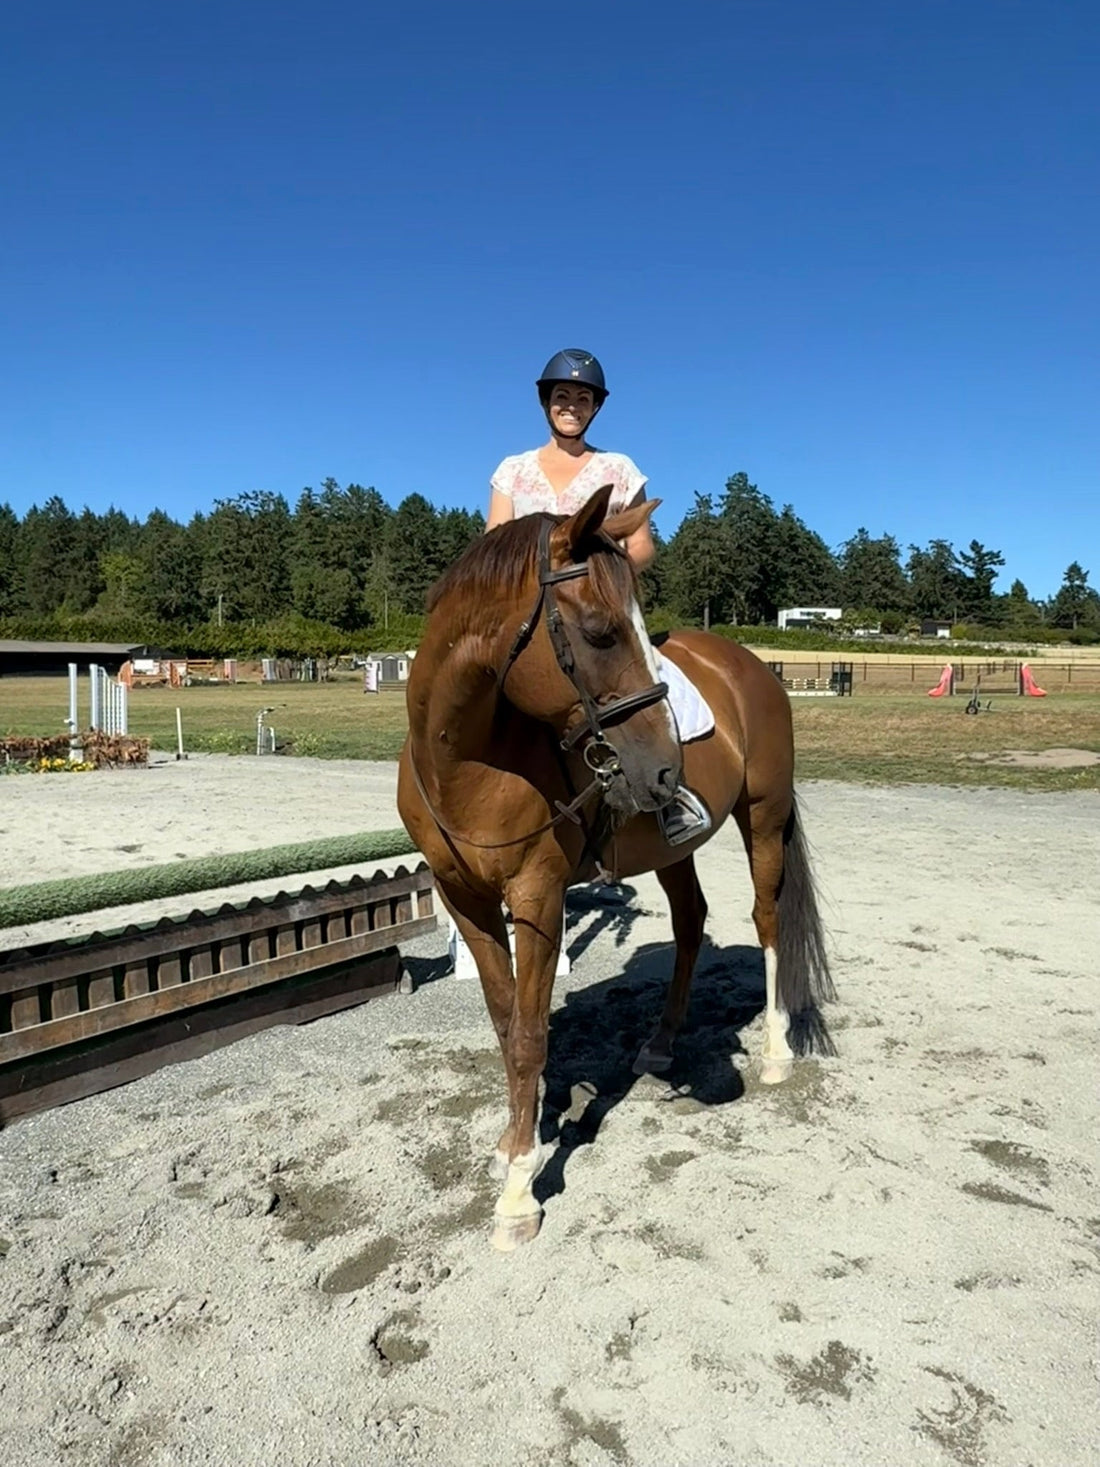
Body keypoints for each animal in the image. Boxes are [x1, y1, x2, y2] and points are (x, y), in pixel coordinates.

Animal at [397, 485, 834, 1251]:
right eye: (600, 631)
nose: (664, 767)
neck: (463, 761)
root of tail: (750, 664)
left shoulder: (538, 897)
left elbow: (531, 1035)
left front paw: (518, 1194)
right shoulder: (464, 900)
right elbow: (506, 1023)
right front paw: (515, 1139)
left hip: (764, 816)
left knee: (768, 918)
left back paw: (778, 1050)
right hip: (670, 848)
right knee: (690, 922)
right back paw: (659, 1045)